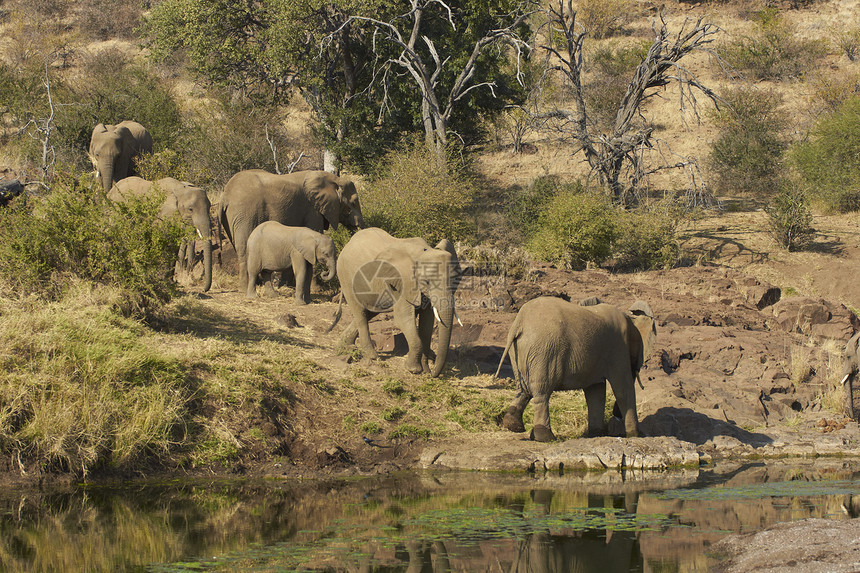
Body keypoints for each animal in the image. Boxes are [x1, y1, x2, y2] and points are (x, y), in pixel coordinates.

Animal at [220, 168, 364, 288]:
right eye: (354, 202)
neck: (333, 179)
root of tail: (225, 196)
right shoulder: (312, 210)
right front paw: (316, 289)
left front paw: (286, 286)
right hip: (245, 213)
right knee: (244, 245)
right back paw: (246, 288)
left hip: (233, 217)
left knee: (239, 245)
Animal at [330, 226, 464, 378]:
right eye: (427, 282)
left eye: (455, 280)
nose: (433, 373)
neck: (423, 252)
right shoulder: (403, 282)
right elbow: (403, 319)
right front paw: (414, 369)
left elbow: (427, 323)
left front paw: (425, 369)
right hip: (345, 276)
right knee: (360, 313)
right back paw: (372, 356)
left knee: (370, 312)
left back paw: (345, 346)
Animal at [494, 298, 656, 440]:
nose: (615, 416)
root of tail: (519, 323)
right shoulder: (618, 349)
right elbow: (623, 389)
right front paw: (635, 435)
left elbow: (596, 392)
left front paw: (596, 434)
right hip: (544, 351)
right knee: (541, 392)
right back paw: (546, 437)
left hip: (522, 351)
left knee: (524, 389)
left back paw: (513, 426)